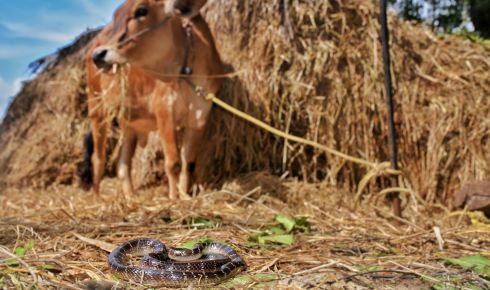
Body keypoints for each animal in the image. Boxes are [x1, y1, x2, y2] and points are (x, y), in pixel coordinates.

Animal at [83, 0, 225, 199]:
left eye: (141, 10)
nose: (99, 55)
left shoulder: (199, 117)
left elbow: (188, 162)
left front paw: (185, 196)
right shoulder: (164, 110)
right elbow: (173, 163)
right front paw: (174, 199)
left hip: (129, 122)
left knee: (122, 164)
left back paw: (130, 197)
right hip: (97, 109)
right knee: (98, 157)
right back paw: (97, 198)